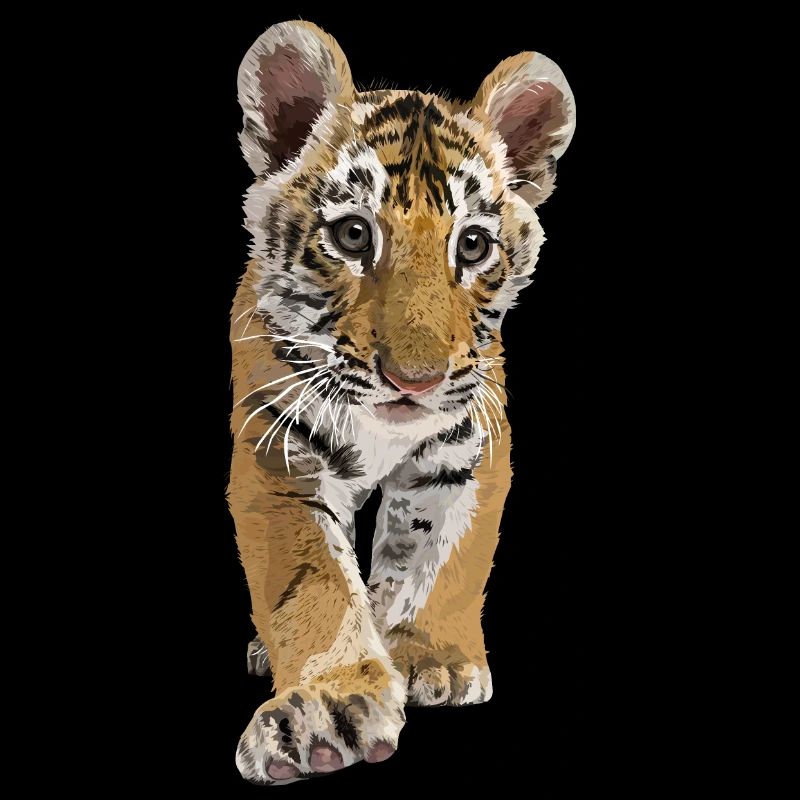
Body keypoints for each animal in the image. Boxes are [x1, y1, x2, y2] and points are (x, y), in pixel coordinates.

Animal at [229, 20, 575, 784]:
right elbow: (315, 581)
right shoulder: (279, 453)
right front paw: (327, 708)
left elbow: (441, 557)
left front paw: (430, 657)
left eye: (472, 245)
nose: (413, 380)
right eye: (353, 234)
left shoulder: (469, 445)